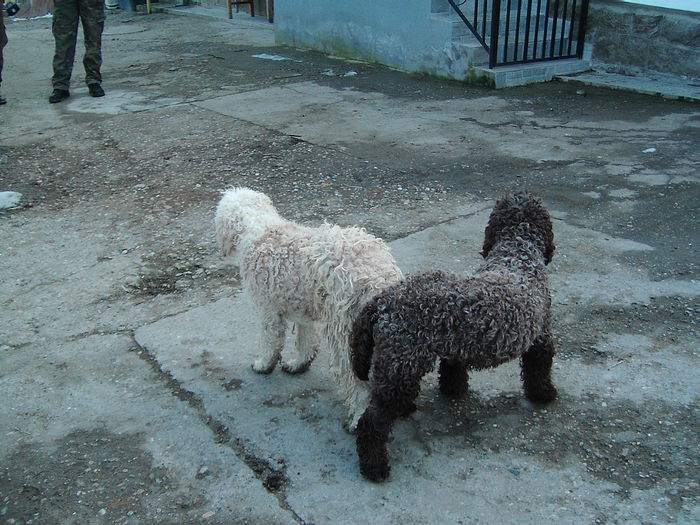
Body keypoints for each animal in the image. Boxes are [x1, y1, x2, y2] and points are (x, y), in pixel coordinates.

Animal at [215, 188, 404, 430]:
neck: (260, 231)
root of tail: (378, 278)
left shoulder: (267, 310)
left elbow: (270, 341)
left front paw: (263, 365)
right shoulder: (303, 311)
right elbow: (305, 341)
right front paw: (299, 364)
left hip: (346, 334)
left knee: (357, 382)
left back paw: (358, 418)